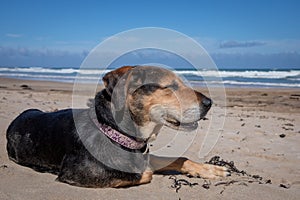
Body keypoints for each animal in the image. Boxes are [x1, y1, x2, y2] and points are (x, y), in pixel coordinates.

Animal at [5, 65, 229, 188]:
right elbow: (145, 173)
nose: (209, 102)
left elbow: (180, 158)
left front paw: (211, 170)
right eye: (171, 86)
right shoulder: (78, 171)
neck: (112, 129)